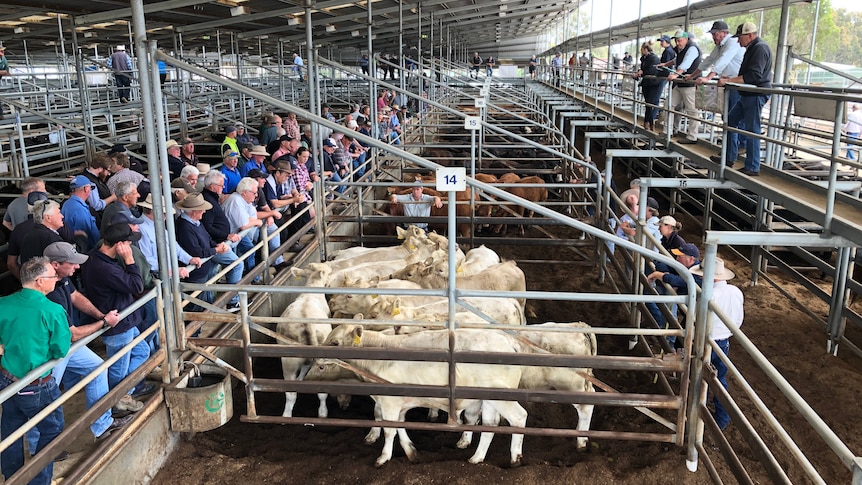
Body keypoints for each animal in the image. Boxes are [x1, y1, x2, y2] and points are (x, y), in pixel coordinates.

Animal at [308, 324, 528, 466]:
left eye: (334, 342)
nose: (315, 357)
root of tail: (508, 341)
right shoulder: (400, 403)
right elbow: (399, 427)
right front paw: (411, 452)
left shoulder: (389, 402)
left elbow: (390, 430)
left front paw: (383, 458)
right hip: (489, 400)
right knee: (490, 426)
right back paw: (476, 458)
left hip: (501, 396)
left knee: (519, 417)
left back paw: (515, 458)